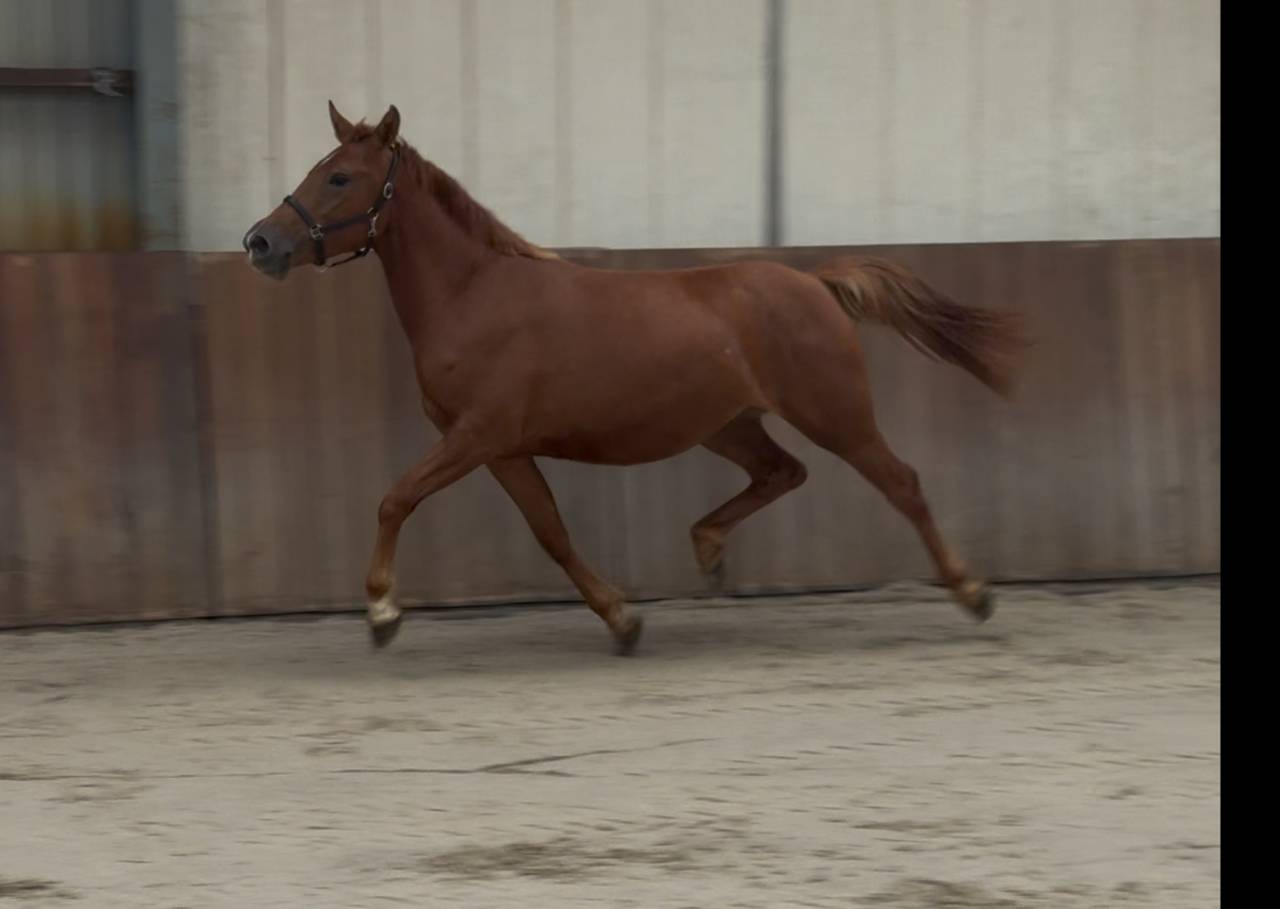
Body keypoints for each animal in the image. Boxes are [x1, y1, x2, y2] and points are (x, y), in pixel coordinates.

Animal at [243, 102, 1025, 655]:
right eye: (318, 166)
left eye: (339, 176)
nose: (260, 242)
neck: (474, 295)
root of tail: (814, 284)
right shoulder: (502, 449)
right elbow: (552, 533)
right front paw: (622, 619)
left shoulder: (477, 435)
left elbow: (395, 498)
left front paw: (381, 610)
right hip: (727, 425)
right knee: (783, 472)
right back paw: (708, 547)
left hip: (835, 412)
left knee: (901, 483)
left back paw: (973, 591)